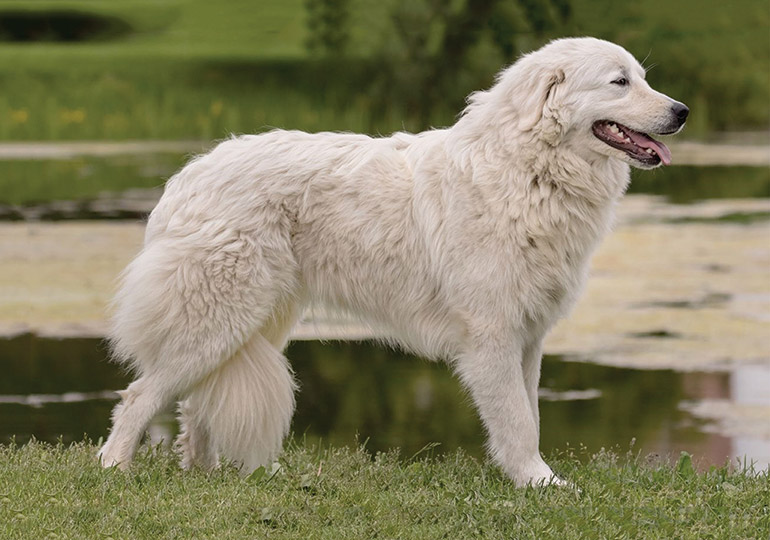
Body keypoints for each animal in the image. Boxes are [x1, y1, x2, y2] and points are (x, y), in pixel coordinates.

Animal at [99, 37, 688, 486]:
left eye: (642, 78)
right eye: (619, 82)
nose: (681, 112)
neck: (530, 169)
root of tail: (184, 178)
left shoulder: (528, 337)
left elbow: (531, 415)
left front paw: (531, 479)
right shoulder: (493, 335)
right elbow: (519, 422)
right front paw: (540, 483)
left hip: (250, 324)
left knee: (194, 404)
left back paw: (206, 476)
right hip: (219, 317)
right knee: (139, 395)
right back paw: (115, 470)